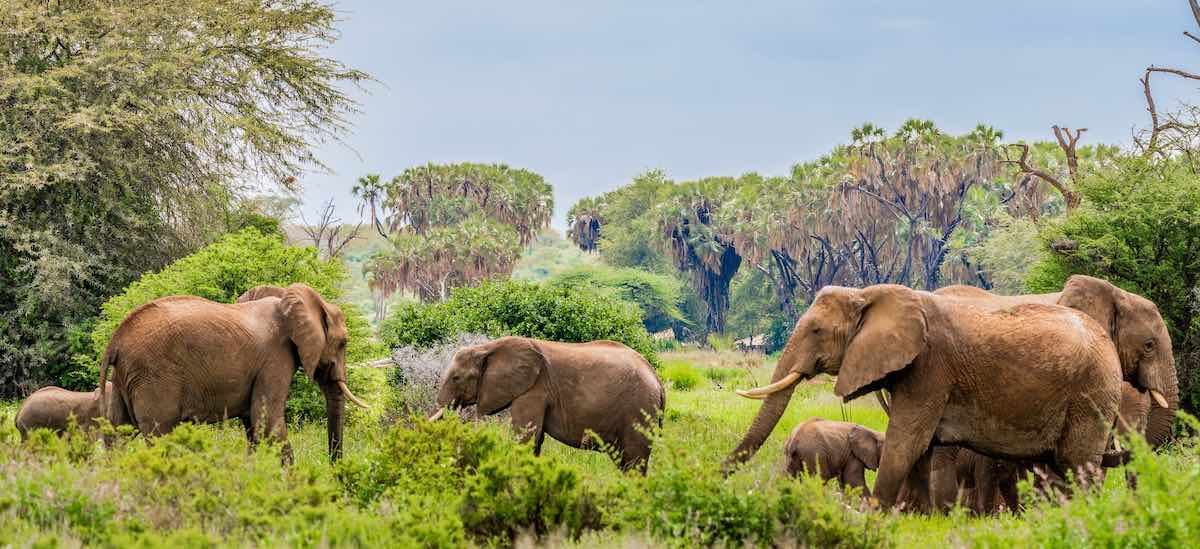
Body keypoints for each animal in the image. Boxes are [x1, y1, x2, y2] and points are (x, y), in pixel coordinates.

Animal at [99, 285, 364, 460]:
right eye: (344, 343)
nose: (334, 469)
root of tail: (115, 340)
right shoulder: (275, 358)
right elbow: (267, 422)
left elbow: (253, 426)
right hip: (153, 376)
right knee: (159, 436)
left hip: (124, 379)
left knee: (117, 434)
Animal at [427, 335, 667, 474]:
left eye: (456, 378)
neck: (488, 347)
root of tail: (658, 380)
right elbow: (535, 440)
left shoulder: (534, 390)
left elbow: (526, 437)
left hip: (639, 409)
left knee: (634, 461)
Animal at [720, 285, 1123, 508]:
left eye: (817, 330)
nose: (716, 475)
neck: (867, 294)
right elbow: (920, 449)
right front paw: (918, 518)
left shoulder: (930, 368)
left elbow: (906, 441)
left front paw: (876, 516)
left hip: (1091, 394)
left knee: (1080, 465)